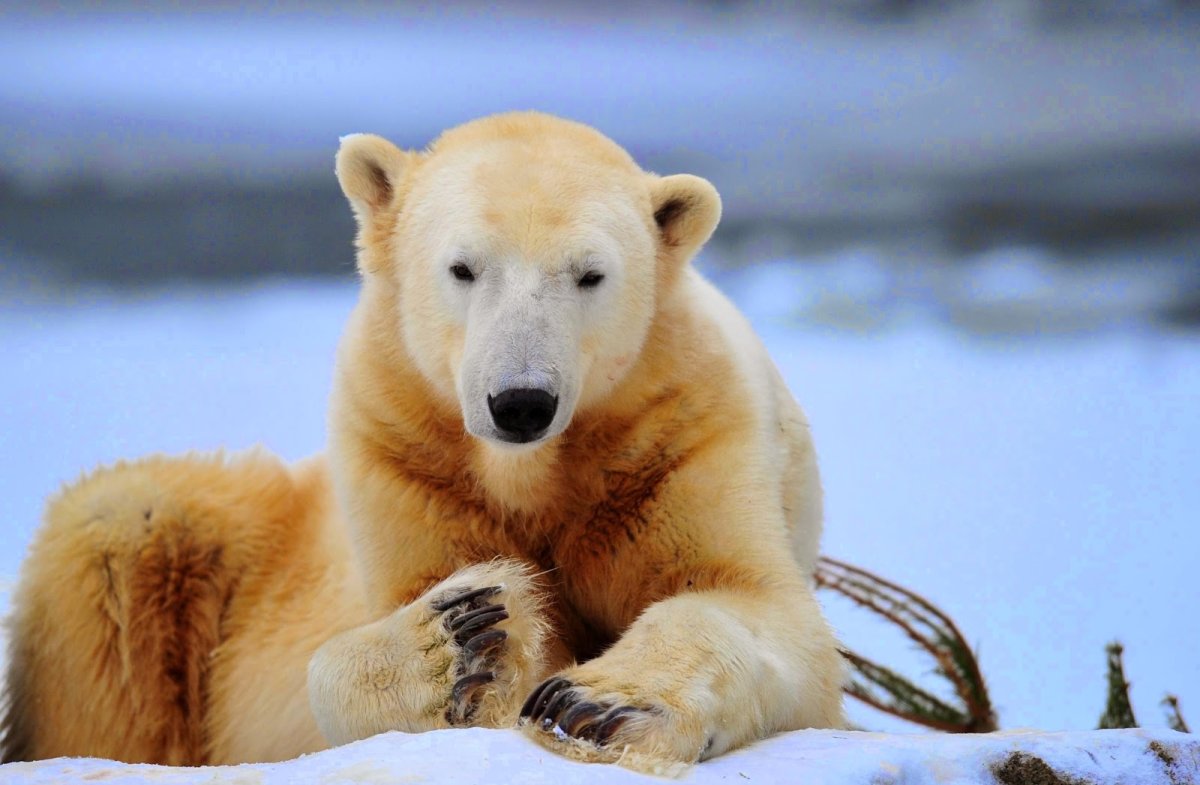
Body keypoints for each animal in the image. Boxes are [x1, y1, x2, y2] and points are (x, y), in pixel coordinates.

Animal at [1, 111, 844, 773]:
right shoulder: (403, 454)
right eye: (463, 267)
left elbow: (747, 599)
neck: (531, 472)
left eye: (590, 274)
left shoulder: (675, 439)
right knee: (120, 528)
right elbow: (391, 619)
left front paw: (594, 705)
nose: (521, 402)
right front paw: (463, 639)